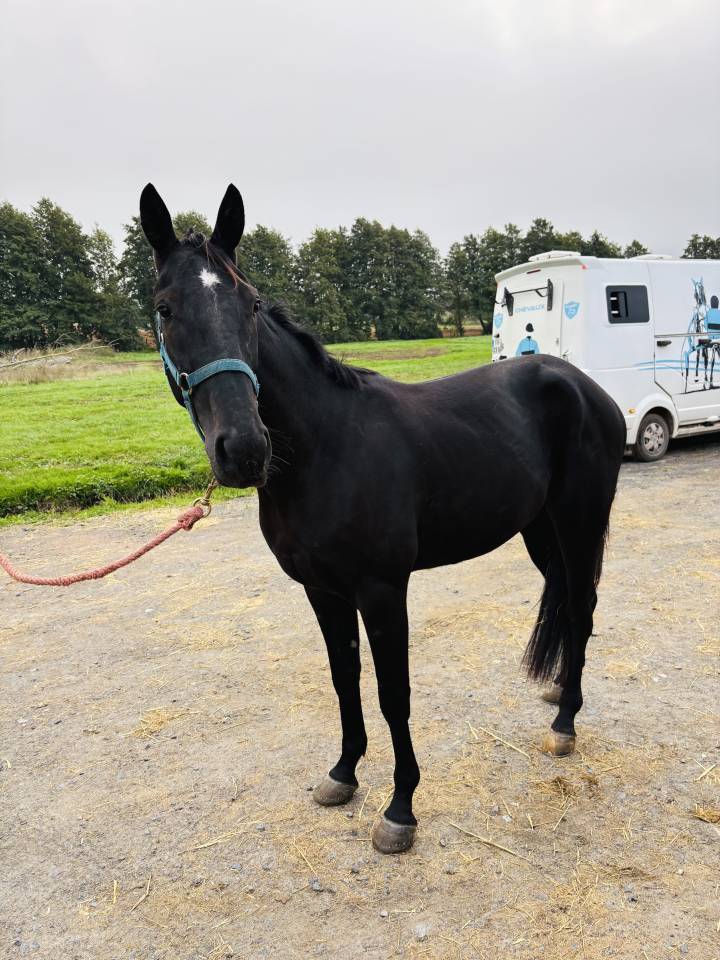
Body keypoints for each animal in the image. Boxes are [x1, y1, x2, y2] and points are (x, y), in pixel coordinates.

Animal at [139, 183, 626, 854]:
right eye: (165, 309)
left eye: (252, 304)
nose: (243, 450)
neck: (325, 448)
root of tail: (580, 384)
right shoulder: (321, 591)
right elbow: (345, 679)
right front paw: (343, 773)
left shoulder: (381, 589)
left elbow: (394, 693)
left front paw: (401, 809)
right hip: (539, 529)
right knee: (564, 602)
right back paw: (556, 688)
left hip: (579, 521)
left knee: (582, 606)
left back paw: (565, 722)